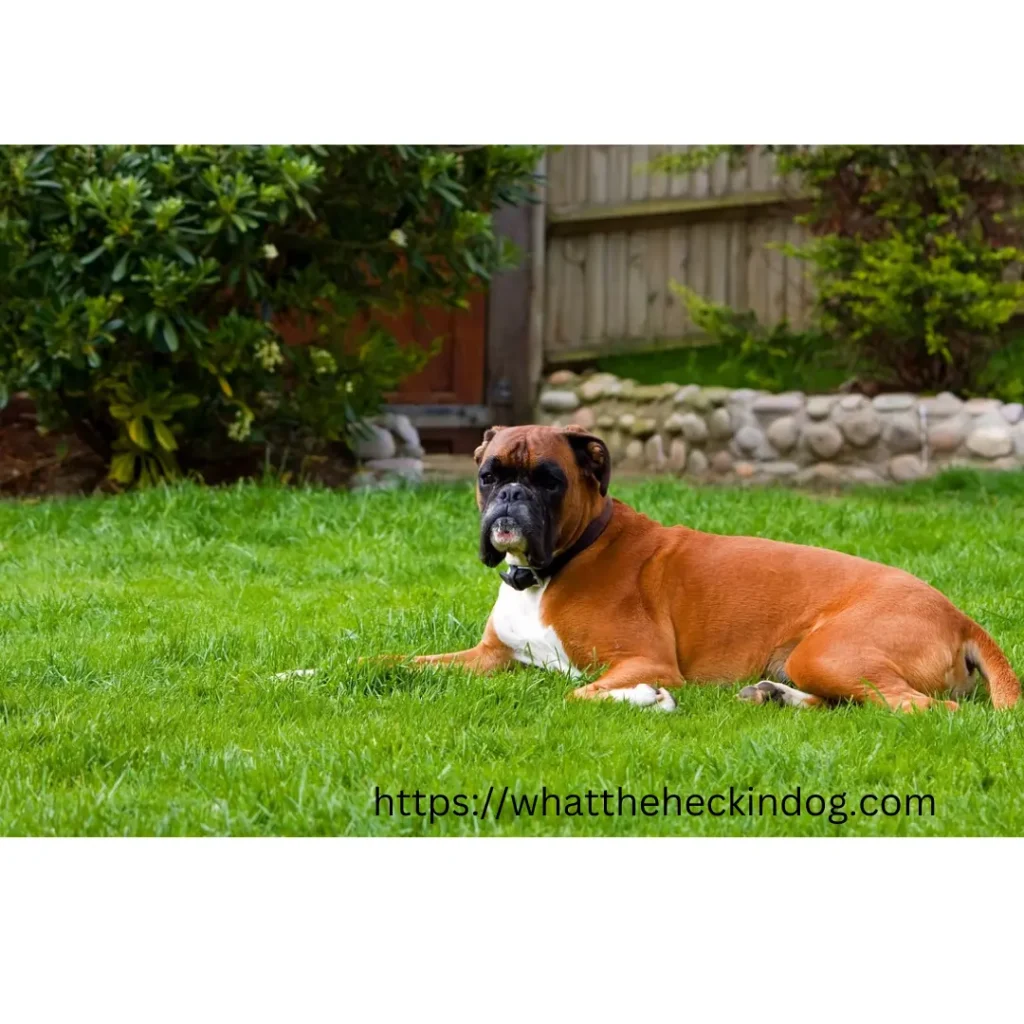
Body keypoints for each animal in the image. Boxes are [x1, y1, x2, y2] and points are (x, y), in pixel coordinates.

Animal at [389, 423, 1015, 712]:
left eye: (548, 480)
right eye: (488, 475)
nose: (511, 497)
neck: (551, 569)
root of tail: (958, 614)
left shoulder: (645, 661)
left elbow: (577, 694)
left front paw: (645, 700)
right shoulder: (488, 657)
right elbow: (403, 662)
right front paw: (366, 667)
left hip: (830, 653)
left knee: (922, 709)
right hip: (815, 663)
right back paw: (774, 696)